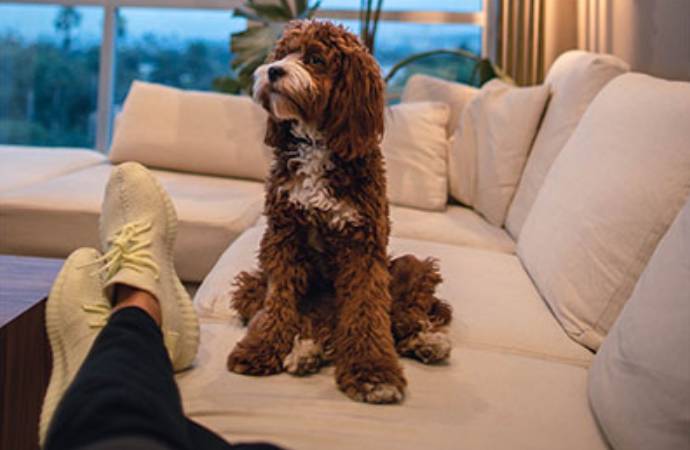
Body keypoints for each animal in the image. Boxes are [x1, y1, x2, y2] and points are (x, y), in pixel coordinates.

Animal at [226, 19, 452, 404]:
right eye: (283, 52)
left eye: (316, 59)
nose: (273, 70)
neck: (317, 141)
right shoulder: (283, 238)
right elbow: (278, 304)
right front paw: (260, 349)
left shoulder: (364, 245)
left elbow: (367, 312)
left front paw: (374, 374)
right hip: (252, 282)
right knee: (315, 322)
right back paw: (307, 351)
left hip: (411, 267)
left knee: (401, 318)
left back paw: (427, 342)